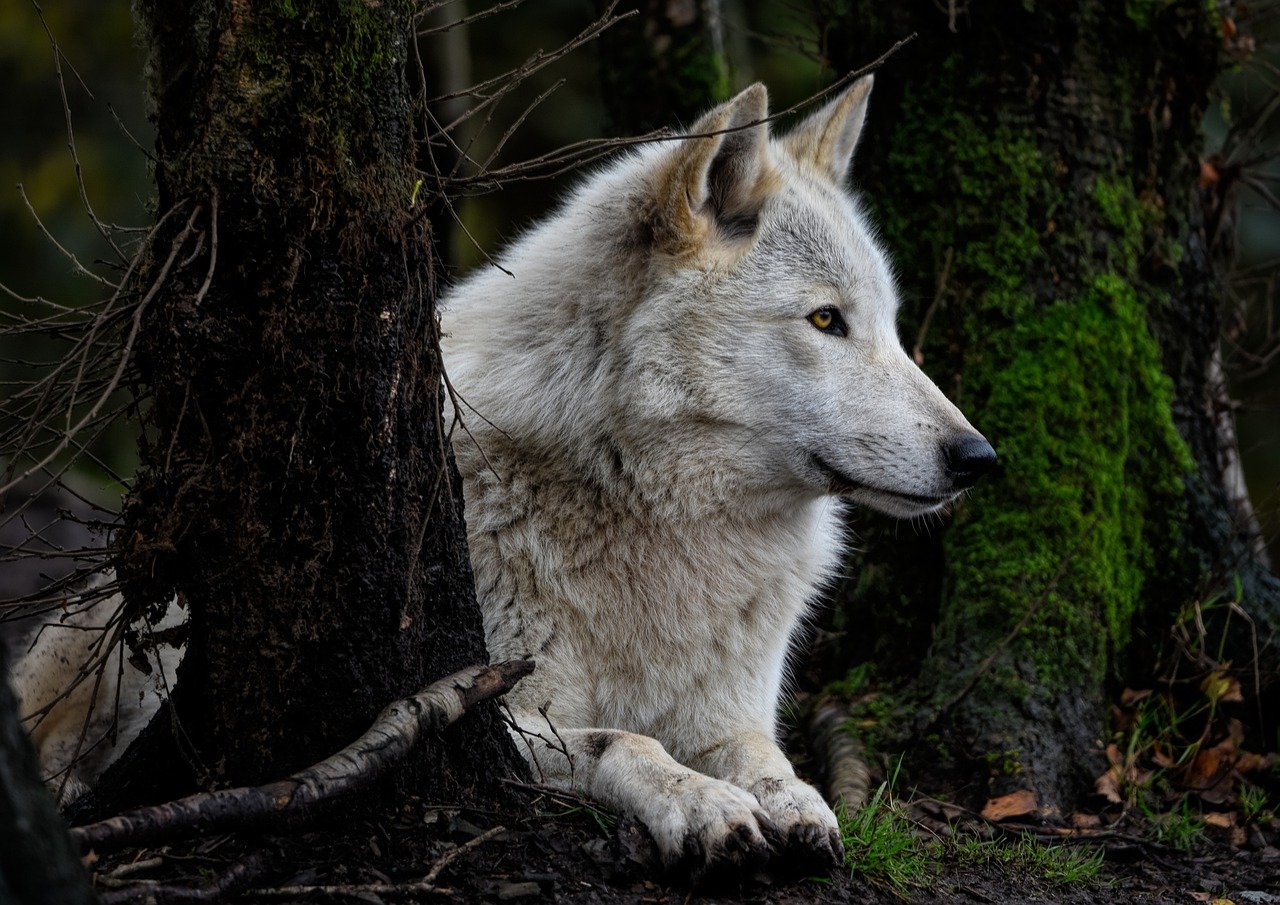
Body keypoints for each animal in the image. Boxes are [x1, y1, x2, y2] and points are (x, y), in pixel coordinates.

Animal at [441, 77, 995, 871]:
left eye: (890, 325)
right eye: (826, 320)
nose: (978, 457)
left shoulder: (732, 711)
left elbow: (764, 756)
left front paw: (797, 803)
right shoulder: (500, 713)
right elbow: (627, 740)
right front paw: (703, 804)